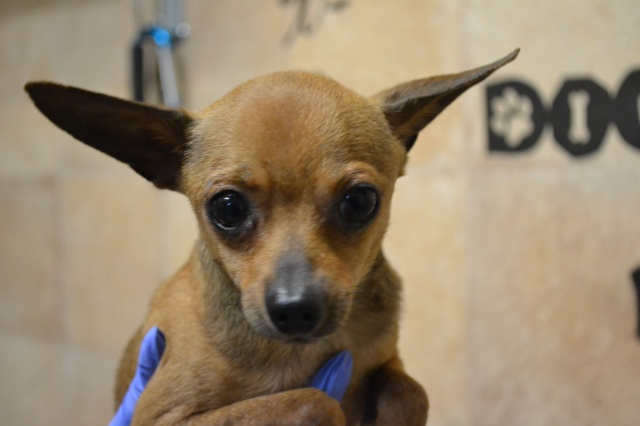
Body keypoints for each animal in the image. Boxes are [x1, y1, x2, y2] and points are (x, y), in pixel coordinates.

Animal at [25, 49, 517, 425]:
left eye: (360, 201)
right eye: (227, 209)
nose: (295, 310)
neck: (301, 355)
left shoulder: (387, 360)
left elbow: (410, 392)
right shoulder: (161, 418)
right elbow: (312, 401)